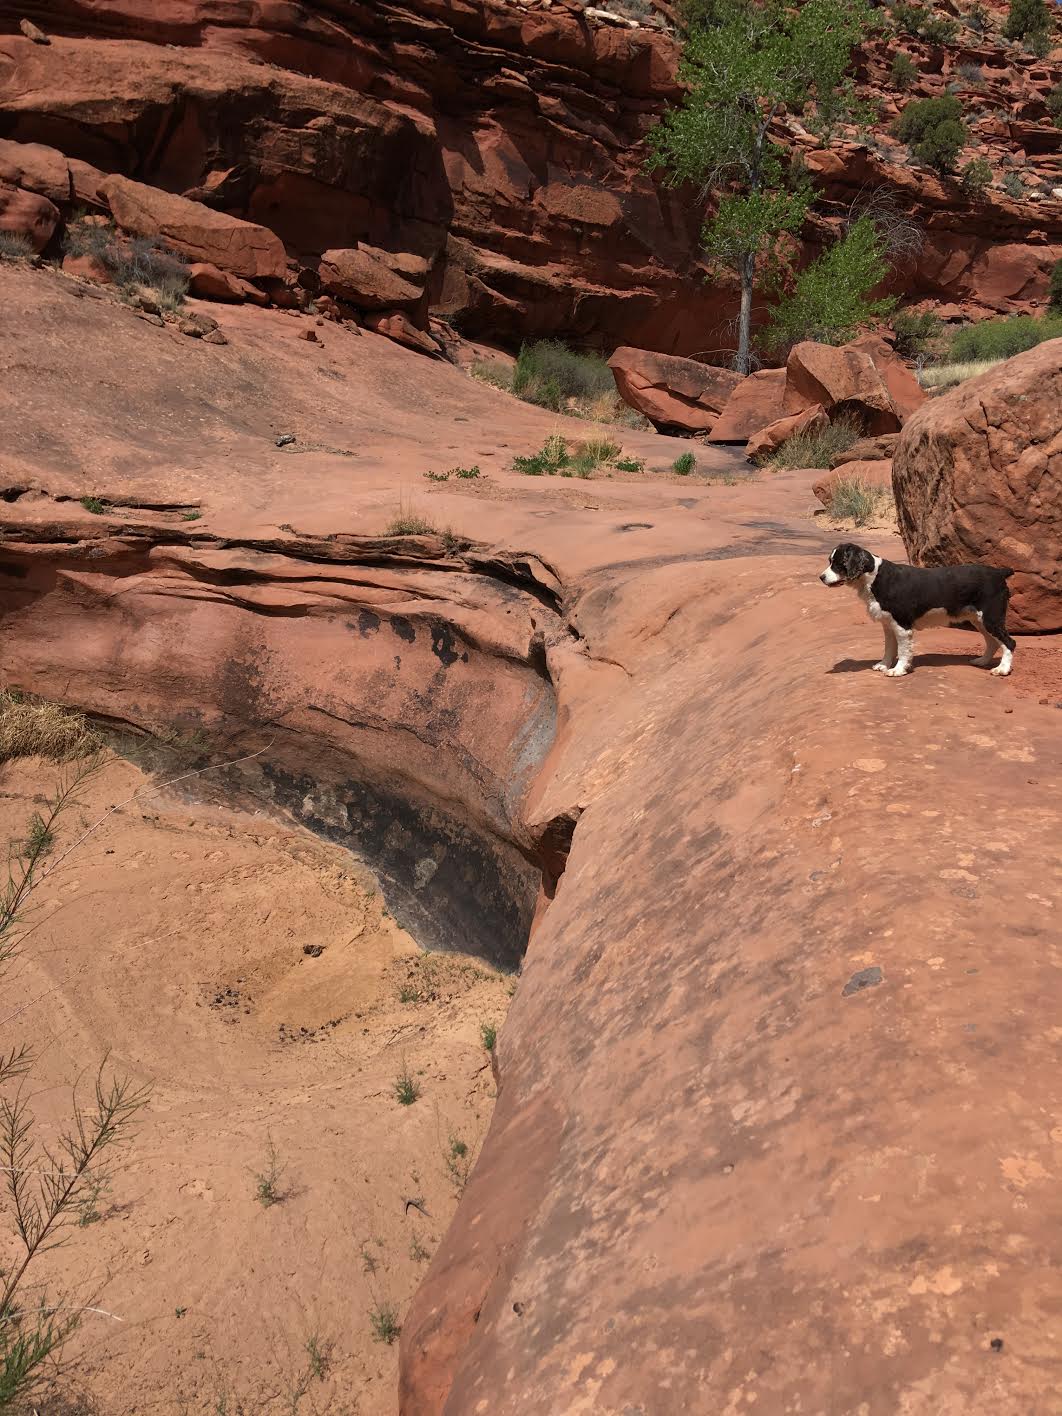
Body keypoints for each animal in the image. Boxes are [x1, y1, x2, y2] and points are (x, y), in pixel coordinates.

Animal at [821, 540, 1019, 674]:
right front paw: (884, 665)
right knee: (993, 642)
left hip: (991, 617)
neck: (874, 577)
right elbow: (889, 648)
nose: (821, 577)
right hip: (979, 620)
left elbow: (903, 650)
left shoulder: (902, 625)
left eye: (838, 564)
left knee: (1009, 642)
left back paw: (1002, 669)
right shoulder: (889, 624)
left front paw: (898, 670)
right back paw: (983, 661)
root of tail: (999, 572)